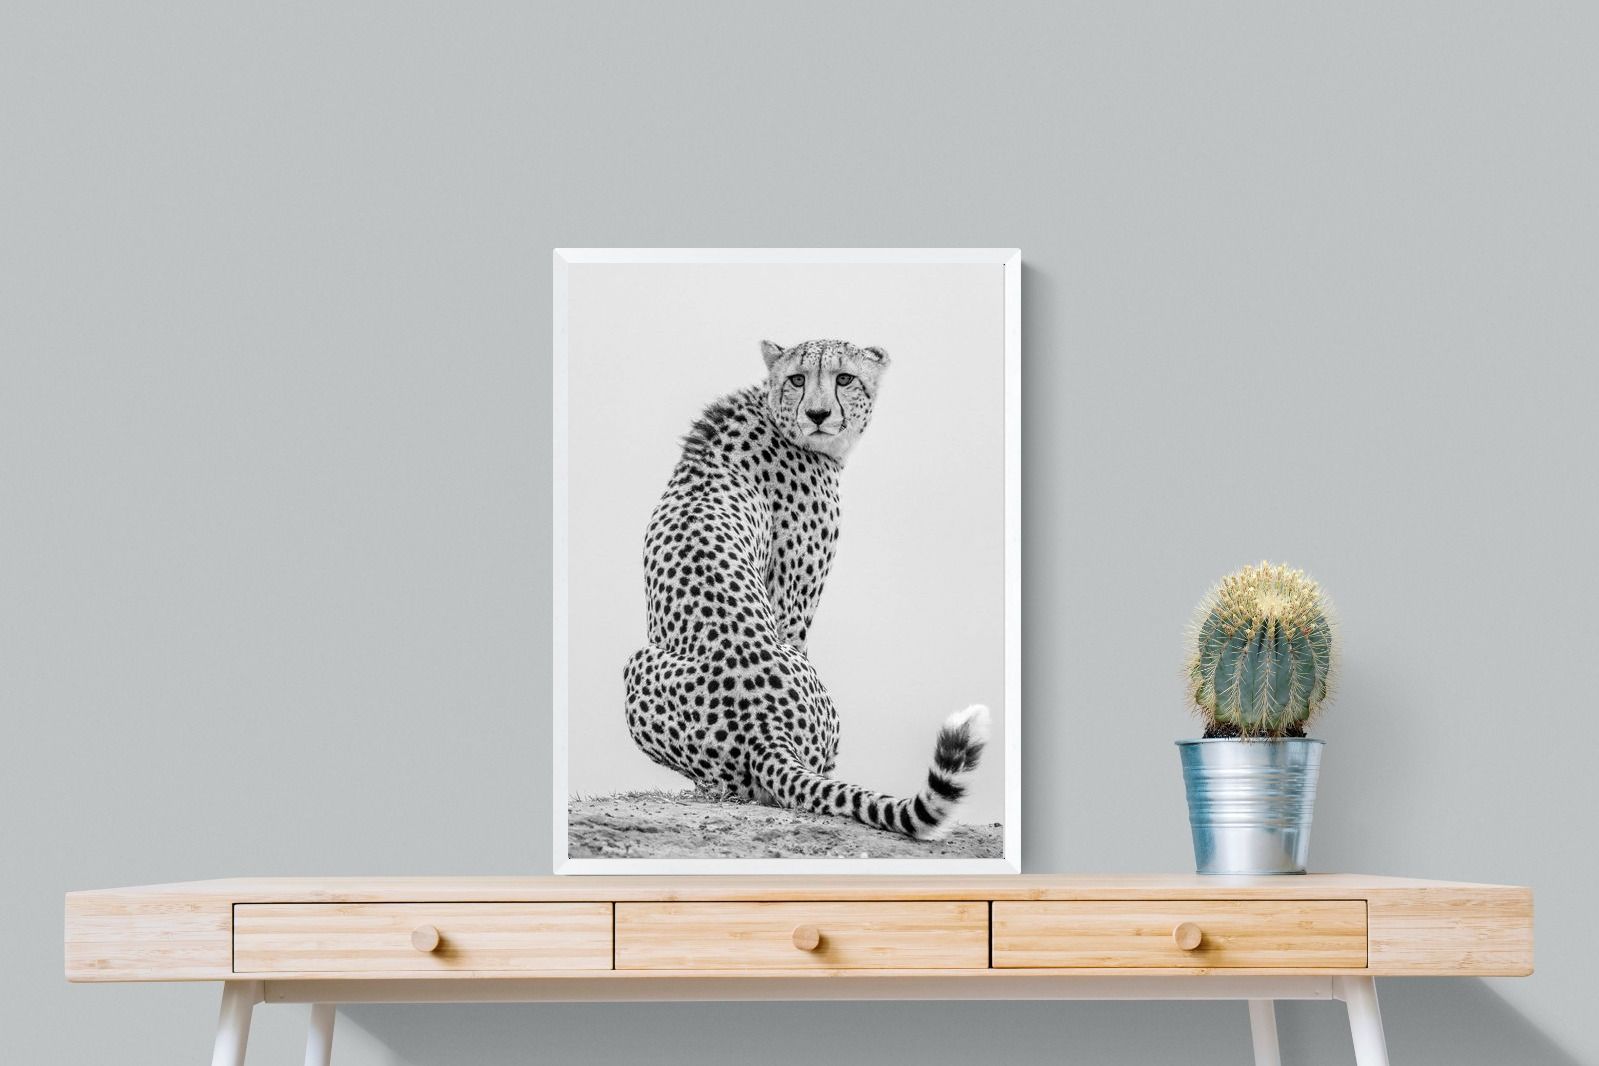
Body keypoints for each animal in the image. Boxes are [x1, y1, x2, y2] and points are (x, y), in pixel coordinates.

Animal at [623, 338, 989, 840]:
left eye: (844, 378)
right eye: (797, 378)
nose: (817, 414)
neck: (773, 414)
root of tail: (764, 728)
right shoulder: (792, 604)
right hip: (640, 664)